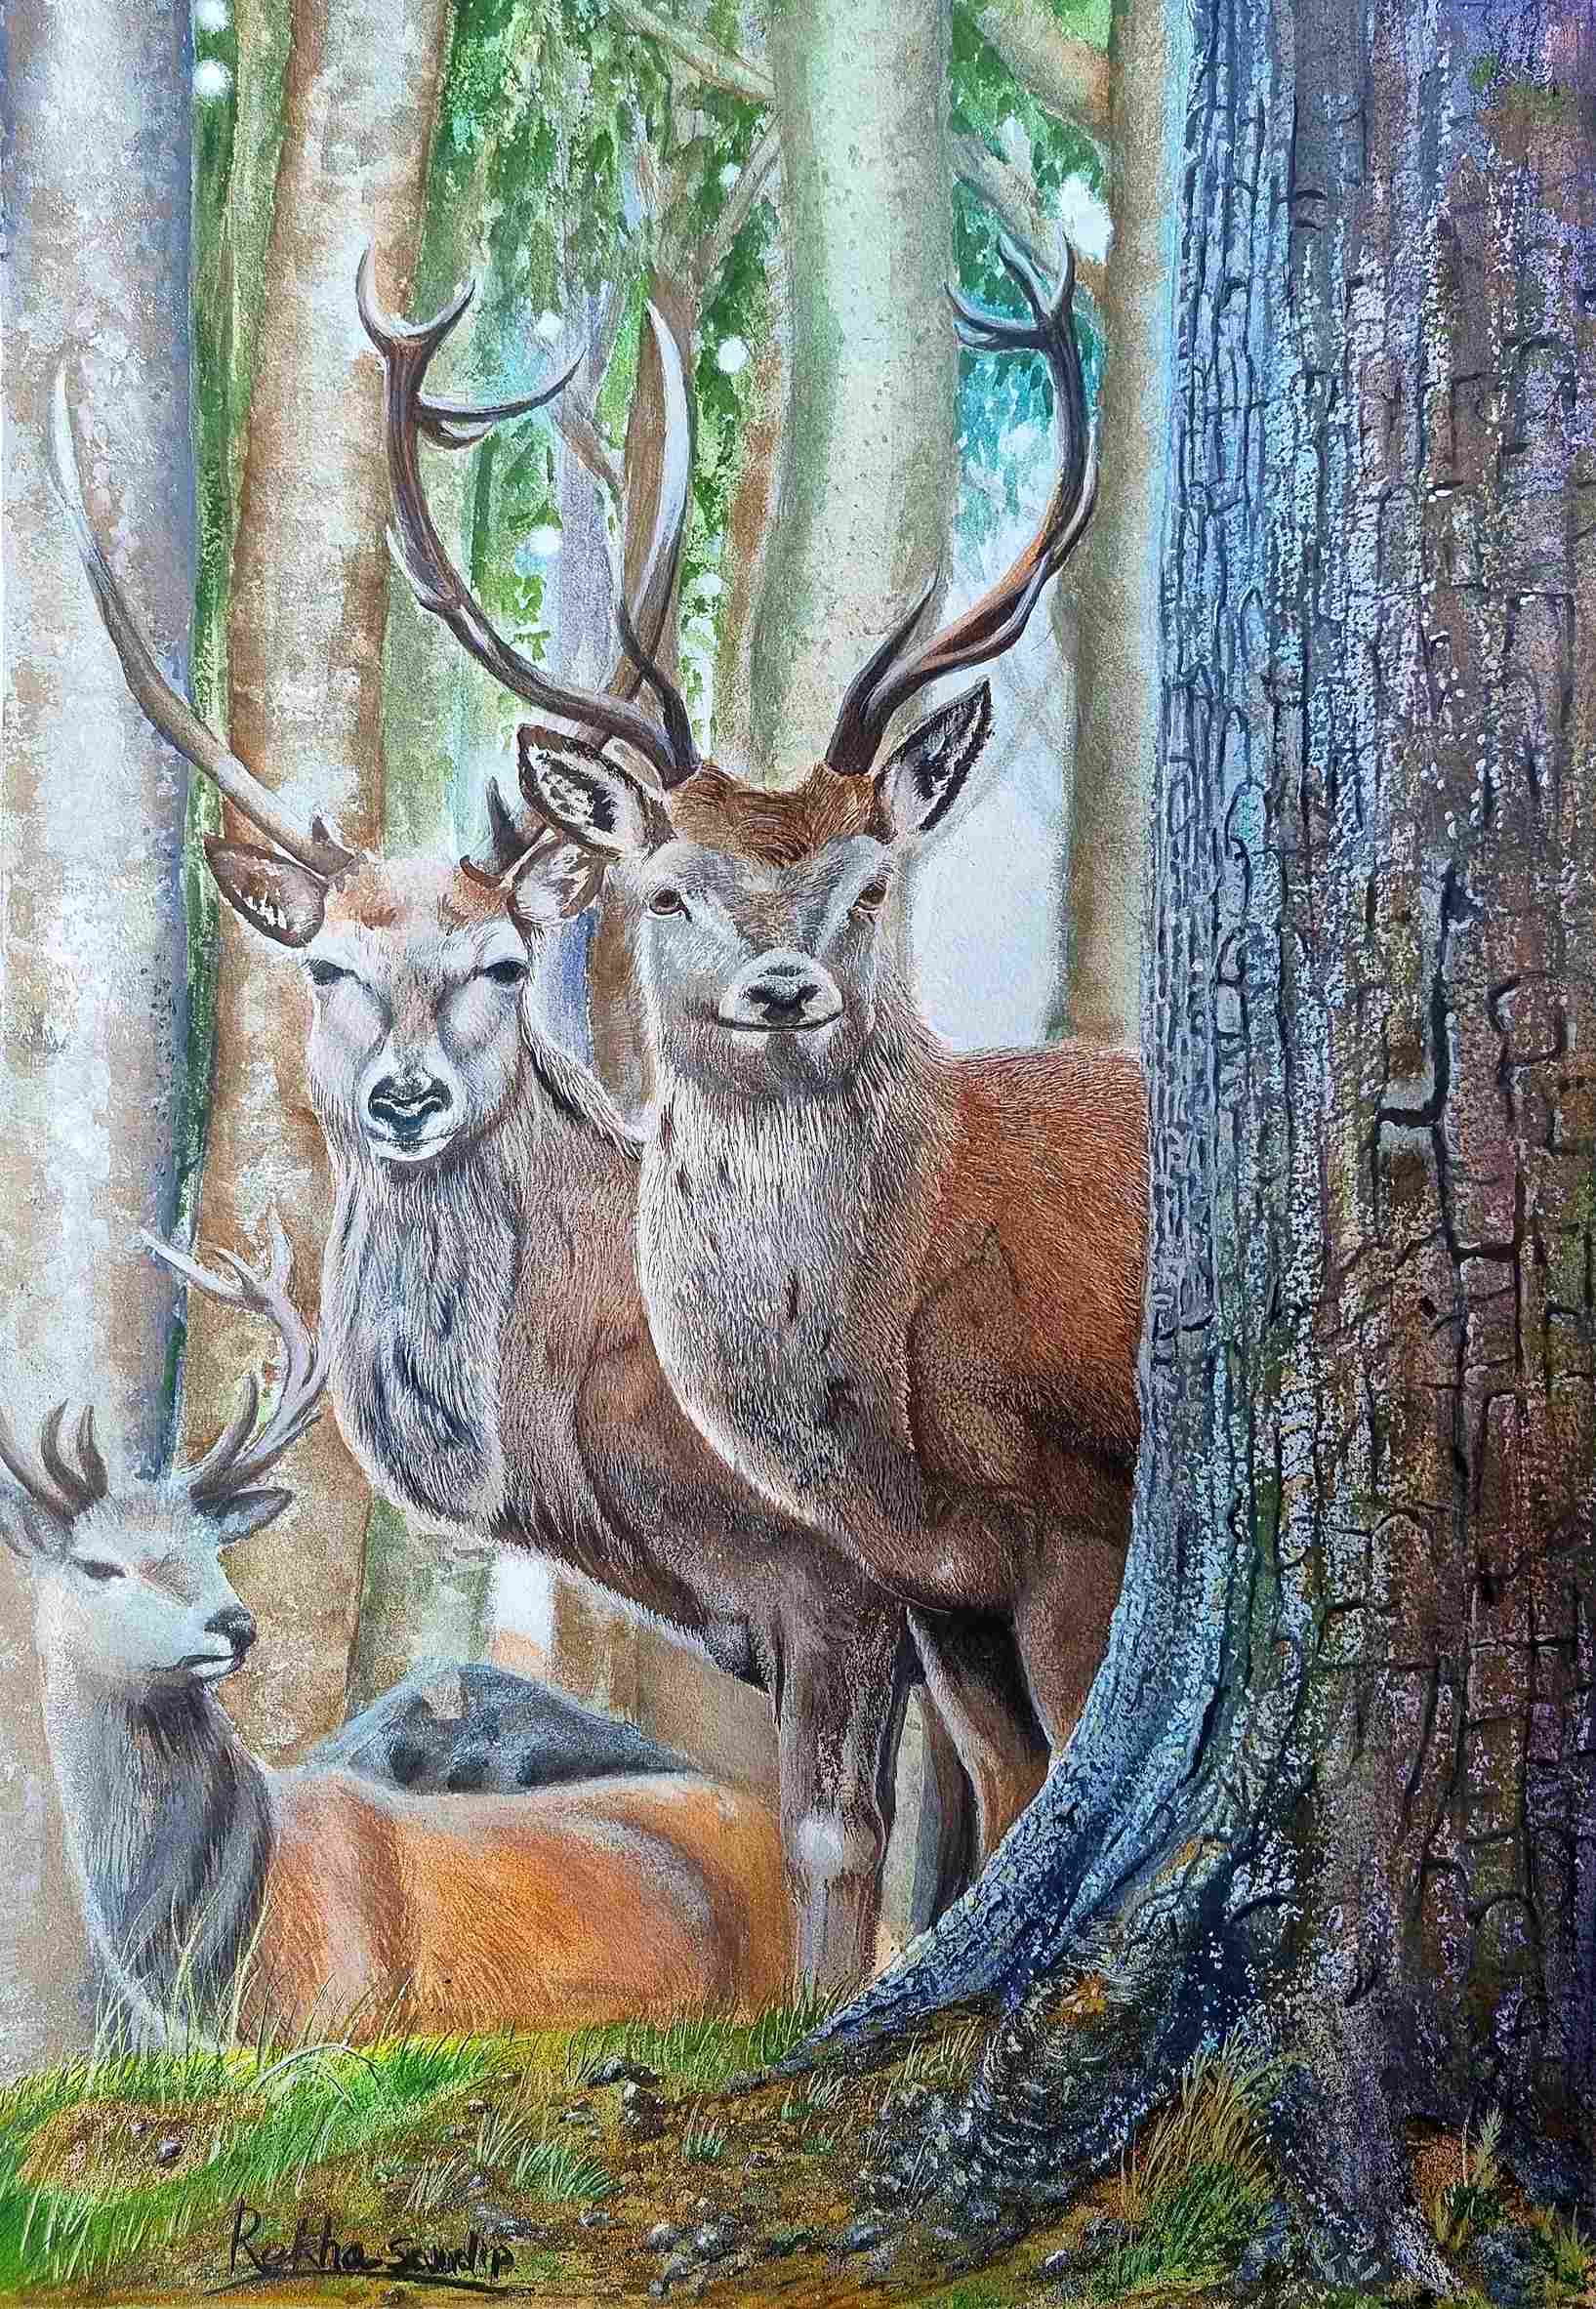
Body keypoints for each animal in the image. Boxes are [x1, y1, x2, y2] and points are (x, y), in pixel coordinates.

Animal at [516, 238, 1150, 1749]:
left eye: (870, 886)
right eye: (667, 889)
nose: (784, 989)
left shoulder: (1078, 1512)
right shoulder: (936, 1591)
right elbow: (1006, 1786)